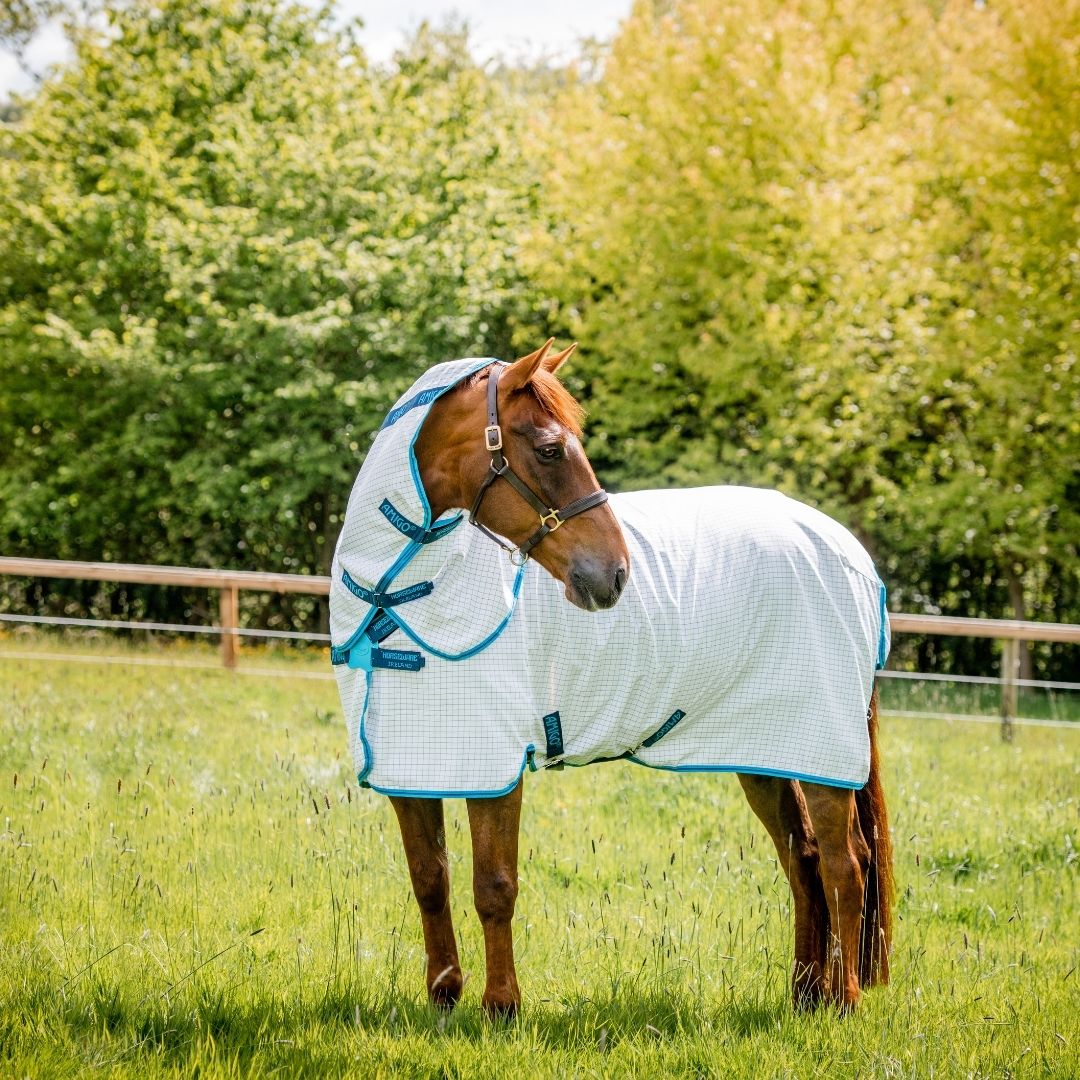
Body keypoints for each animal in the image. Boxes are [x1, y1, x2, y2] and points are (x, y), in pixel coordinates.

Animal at [390, 341, 894, 1015]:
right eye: (550, 449)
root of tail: (852, 555)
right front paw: (444, 998)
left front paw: (501, 1007)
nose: (616, 573)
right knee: (804, 857)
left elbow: (493, 885)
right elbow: (430, 879)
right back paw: (805, 995)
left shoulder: (496, 771)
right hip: (766, 752)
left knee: (846, 863)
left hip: (823, 750)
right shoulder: (411, 769)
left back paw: (843, 1001)